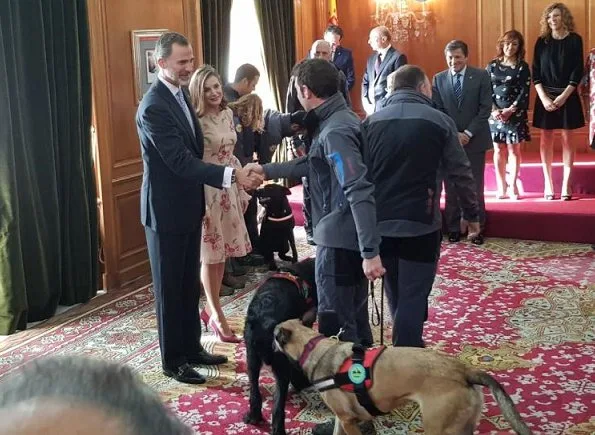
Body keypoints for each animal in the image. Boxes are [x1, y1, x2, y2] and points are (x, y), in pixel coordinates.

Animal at [242, 258, 316, 435]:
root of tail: (264, 321)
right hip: (280, 363)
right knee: (277, 405)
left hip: (251, 358)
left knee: (255, 391)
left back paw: (254, 416)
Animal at [272, 320, 532, 435]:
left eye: (273, 334)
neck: (313, 347)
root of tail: (464, 371)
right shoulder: (342, 419)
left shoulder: (348, 421)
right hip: (462, 427)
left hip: (439, 428)